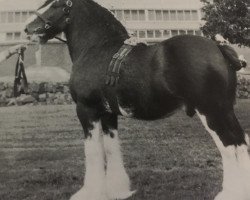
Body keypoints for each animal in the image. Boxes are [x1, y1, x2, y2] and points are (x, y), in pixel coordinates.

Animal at [24, 0, 249, 199]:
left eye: (56, 4)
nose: (27, 29)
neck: (98, 48)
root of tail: (218, 48)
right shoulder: (108, 114)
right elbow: (111, 148)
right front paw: (117, 190)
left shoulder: (86, 110)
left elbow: (93, 152)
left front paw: (90, 193)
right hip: (226, 110)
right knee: (241, 143)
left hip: (211, 112)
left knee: (229, 146)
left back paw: (228, 193)